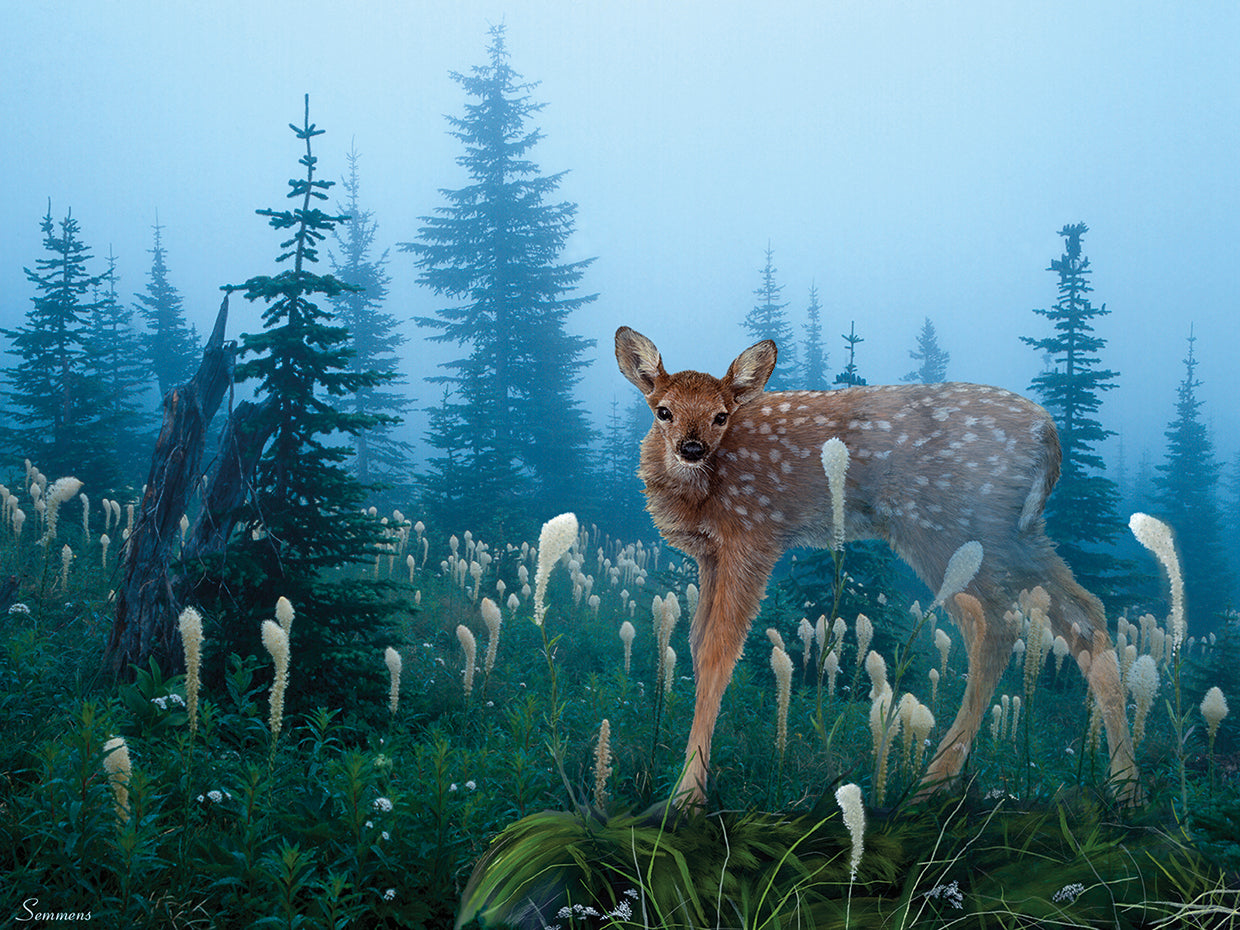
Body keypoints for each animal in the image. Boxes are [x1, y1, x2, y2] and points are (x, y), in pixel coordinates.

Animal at [615, 326, 1137, 808]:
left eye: (721, 415)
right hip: (1015, 533)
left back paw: (930, 784)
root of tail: (1049, 435)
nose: (692, 448)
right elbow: (695, 642)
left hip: (954, 527)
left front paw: (686, 796)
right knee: (1081, 615)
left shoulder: (753, 534)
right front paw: (686, 785)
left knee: (998, 625)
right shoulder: (710, 555)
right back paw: (1122, 786)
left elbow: (717, 653)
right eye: (663, 410)